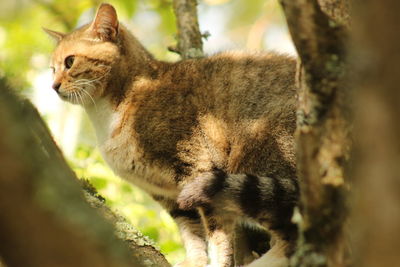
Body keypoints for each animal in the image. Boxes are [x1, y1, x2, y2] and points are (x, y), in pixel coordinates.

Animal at [45, 3, 298, 267]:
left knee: (292, 236)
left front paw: (217, 262)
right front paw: (195, 261)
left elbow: (217, 233)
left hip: (257, 154)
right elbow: (192, 234)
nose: (53, 86)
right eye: (52, 69)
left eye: (70, 61)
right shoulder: (169, 195)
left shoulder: (197, 164)